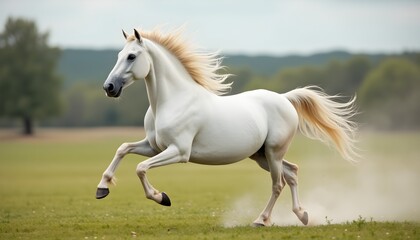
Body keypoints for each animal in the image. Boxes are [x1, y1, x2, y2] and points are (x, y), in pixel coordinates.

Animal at [96, 28, 358, 227]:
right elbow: (123, 148)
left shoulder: (179, 152)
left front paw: (162, 197)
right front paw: (102, 188)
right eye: (119, 54)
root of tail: (285, 99)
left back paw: (261, 220)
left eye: (131, 56)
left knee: (278, 184)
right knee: (292, 173)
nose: (109, 87)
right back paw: (302, 215)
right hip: (261, 156)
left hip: (273, 153)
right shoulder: (153, 146)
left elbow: (140, 168)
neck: (172, 101)